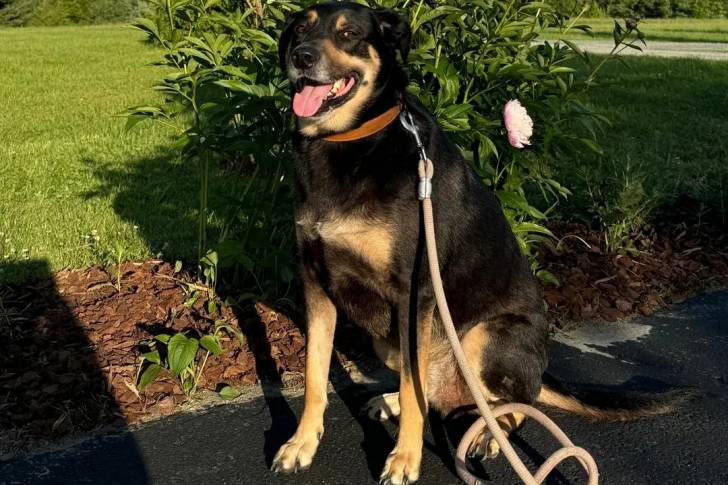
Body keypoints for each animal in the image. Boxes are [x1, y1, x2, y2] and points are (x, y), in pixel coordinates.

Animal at [272, 3, 681, 483]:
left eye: (349, 33)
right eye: (300, 29)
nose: (300, 56)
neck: (348, 142)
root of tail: (538, 371)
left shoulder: (414, 291)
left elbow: (413, 392)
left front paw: (405, 458)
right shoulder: (316, 282)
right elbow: (315, 376)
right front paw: (301, 444)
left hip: (482, 336)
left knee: (512, 406)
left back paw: (487, 434)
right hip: (389, 341)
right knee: (440, 392)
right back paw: (395, 402)